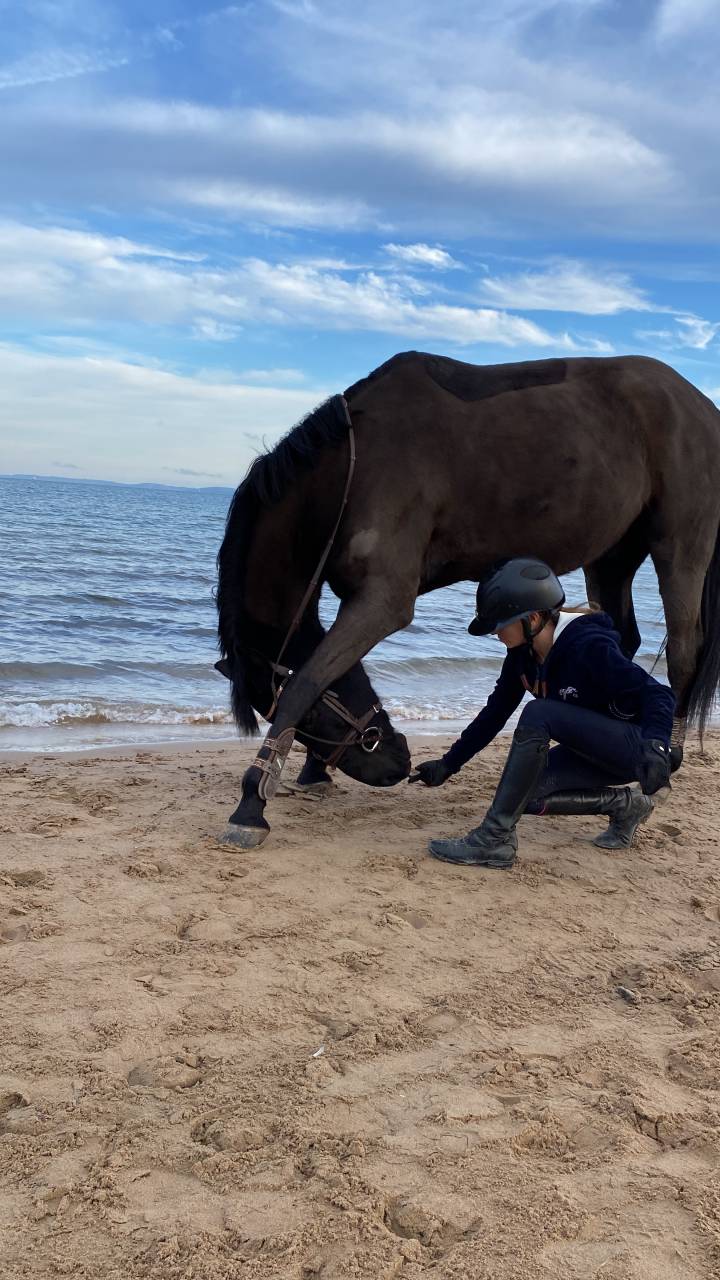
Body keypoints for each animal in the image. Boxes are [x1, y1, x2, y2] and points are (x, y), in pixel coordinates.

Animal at [216, 351, 720, 848]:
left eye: (311, 719)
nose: (397, 760)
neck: (355, 469)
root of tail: (700, 405)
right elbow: (320, 672)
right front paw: (312, 773)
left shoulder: (382, 601)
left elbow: (307, 680)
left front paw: (250, 806)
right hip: (611, 558)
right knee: (624, 637)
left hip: (679, 548)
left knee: (682, 651)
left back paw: (667, 756)